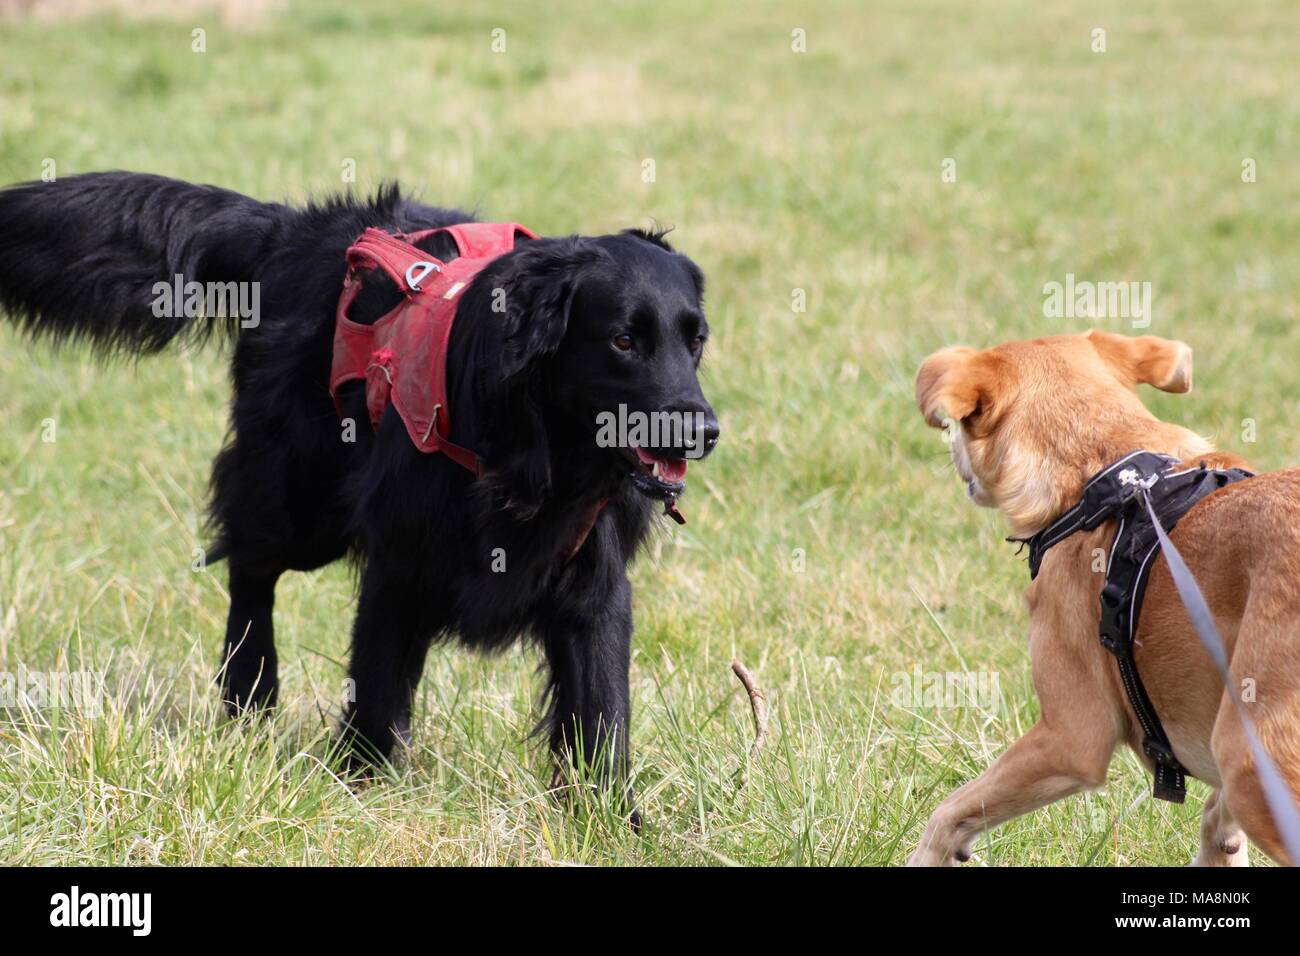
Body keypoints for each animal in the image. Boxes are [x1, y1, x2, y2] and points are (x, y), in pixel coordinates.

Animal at [0, 171, 722, 816]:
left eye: (695, 340)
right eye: (623, 339)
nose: (702, 431)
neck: (532, 448)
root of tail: (293, 231)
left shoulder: (593, 582)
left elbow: (602, 707)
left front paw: (611, 819)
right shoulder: (399, 566)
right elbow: (376, 686)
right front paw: (359, 788)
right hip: (304, 503)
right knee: (249, 565)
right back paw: (249, 691)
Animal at [909, 329, 1300, 868]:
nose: (948, 449)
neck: (1105, 476)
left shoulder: (1071, 739)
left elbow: (949, 811)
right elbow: (1215, 821)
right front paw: (1220, 837)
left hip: (1250, 758)